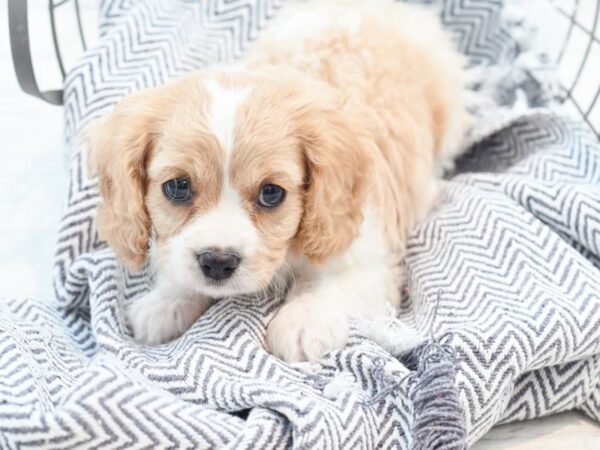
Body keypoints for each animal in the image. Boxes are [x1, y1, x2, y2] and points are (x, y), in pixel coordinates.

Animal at [92, 0, 464, 362]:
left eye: (271, 193)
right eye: (177, 187)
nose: (218, 262)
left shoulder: (369, 258)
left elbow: (333, 283)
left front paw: (303, 322)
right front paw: (166, 301)